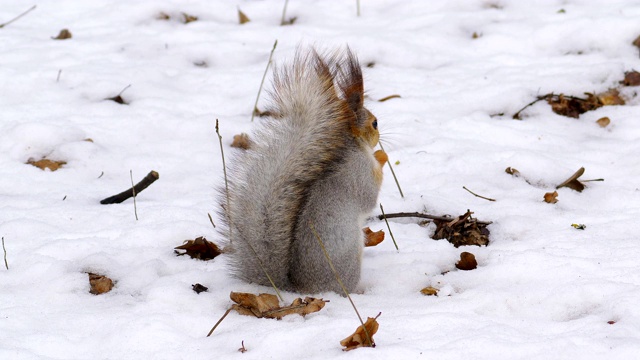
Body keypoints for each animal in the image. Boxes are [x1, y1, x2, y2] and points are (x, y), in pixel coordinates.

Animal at [220, 47, 388, 294]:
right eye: (374, 123)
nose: (378, 138)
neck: (351, 146)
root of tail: (298, 288)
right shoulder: (358, 171)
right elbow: (369, 197)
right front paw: (382, 156)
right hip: (347, 264)